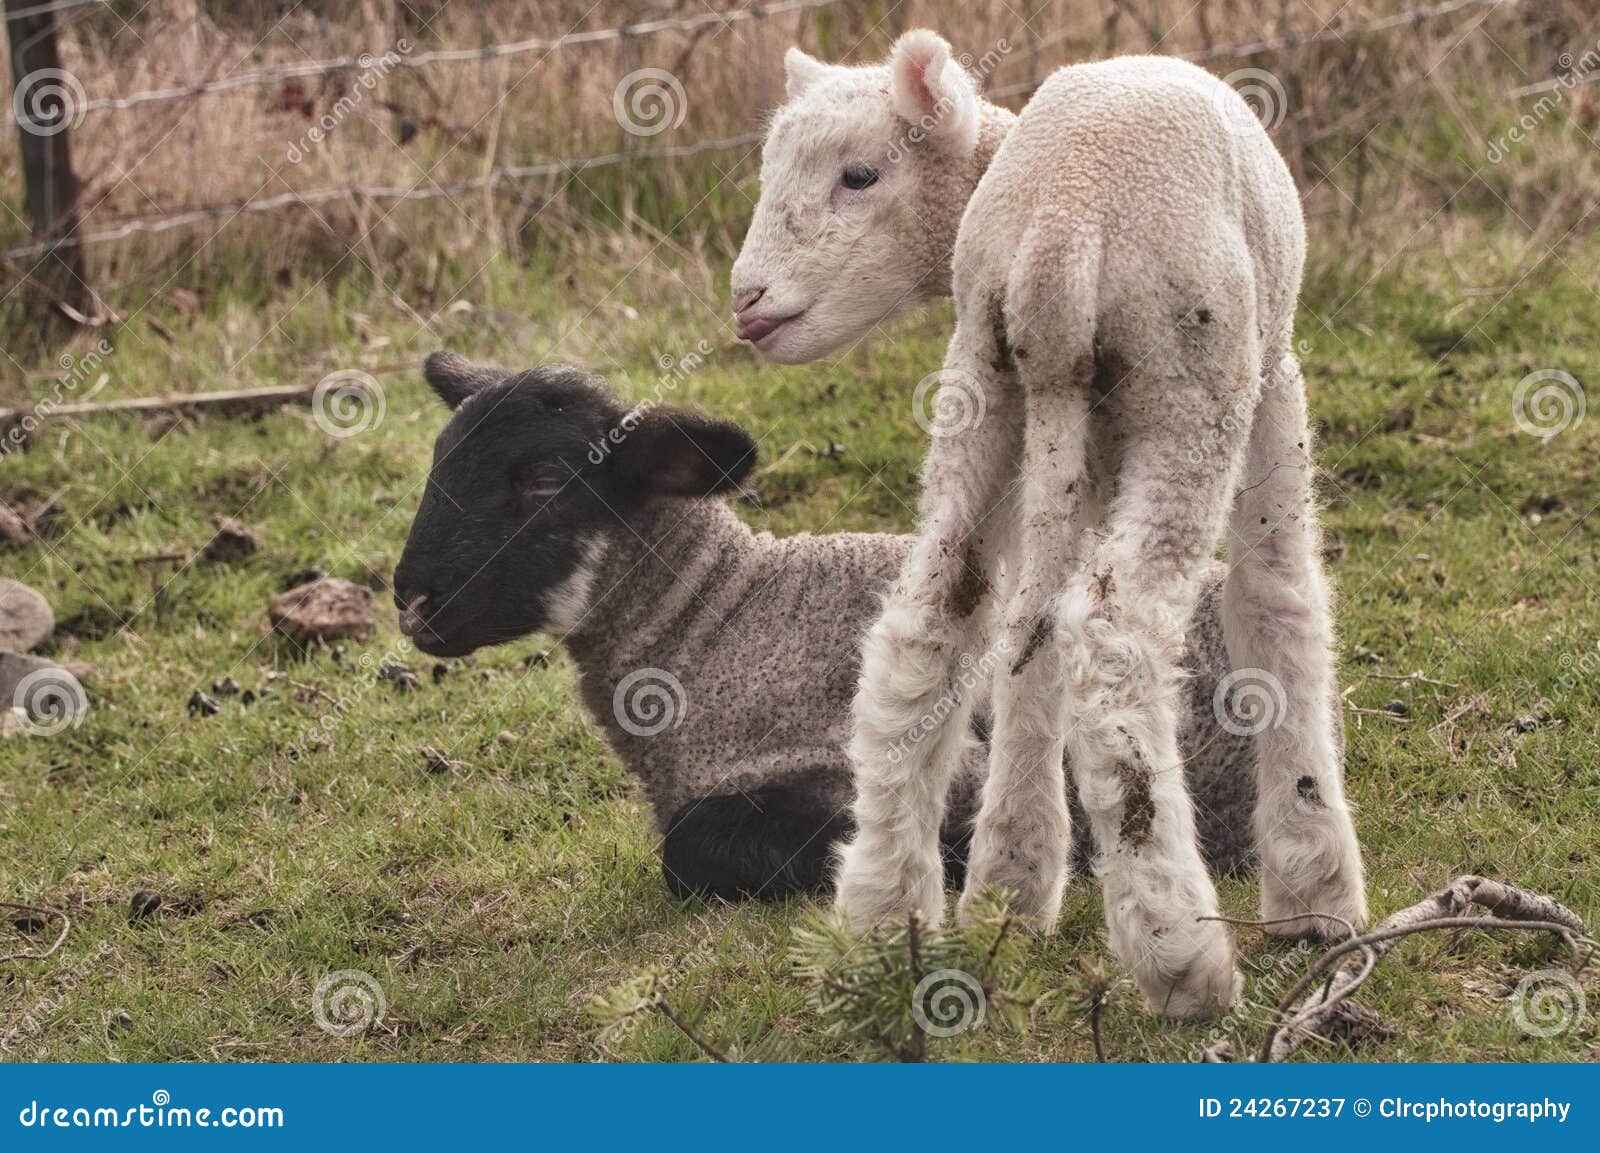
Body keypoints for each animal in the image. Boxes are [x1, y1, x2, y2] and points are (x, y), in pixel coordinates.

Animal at [730, 31, 1366, 1015]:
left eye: (859, 175)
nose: (747, 301)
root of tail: (1059, 240)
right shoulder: (1275, 375)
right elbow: (1277, 597)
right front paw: (1314, 888)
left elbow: (1026, 642)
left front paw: (1011, 882)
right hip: (1194, 380)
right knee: (1112, 636)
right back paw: (1181, 952)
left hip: (983, 382)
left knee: (934, 621)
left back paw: (884, 913)